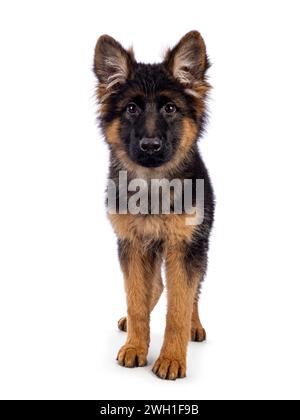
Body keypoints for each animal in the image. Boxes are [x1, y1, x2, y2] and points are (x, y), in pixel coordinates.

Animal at [93, 31, 213, 378]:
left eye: (170, 108)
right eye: (131, 108)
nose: (150, 146)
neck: (152, 183)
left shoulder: (185, 247)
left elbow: (180, 305)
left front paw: (171, 357)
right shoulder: (132, 244)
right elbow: (136, 297)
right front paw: (135, 345)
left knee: (192, 291)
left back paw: (194, 326)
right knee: (155, 285)